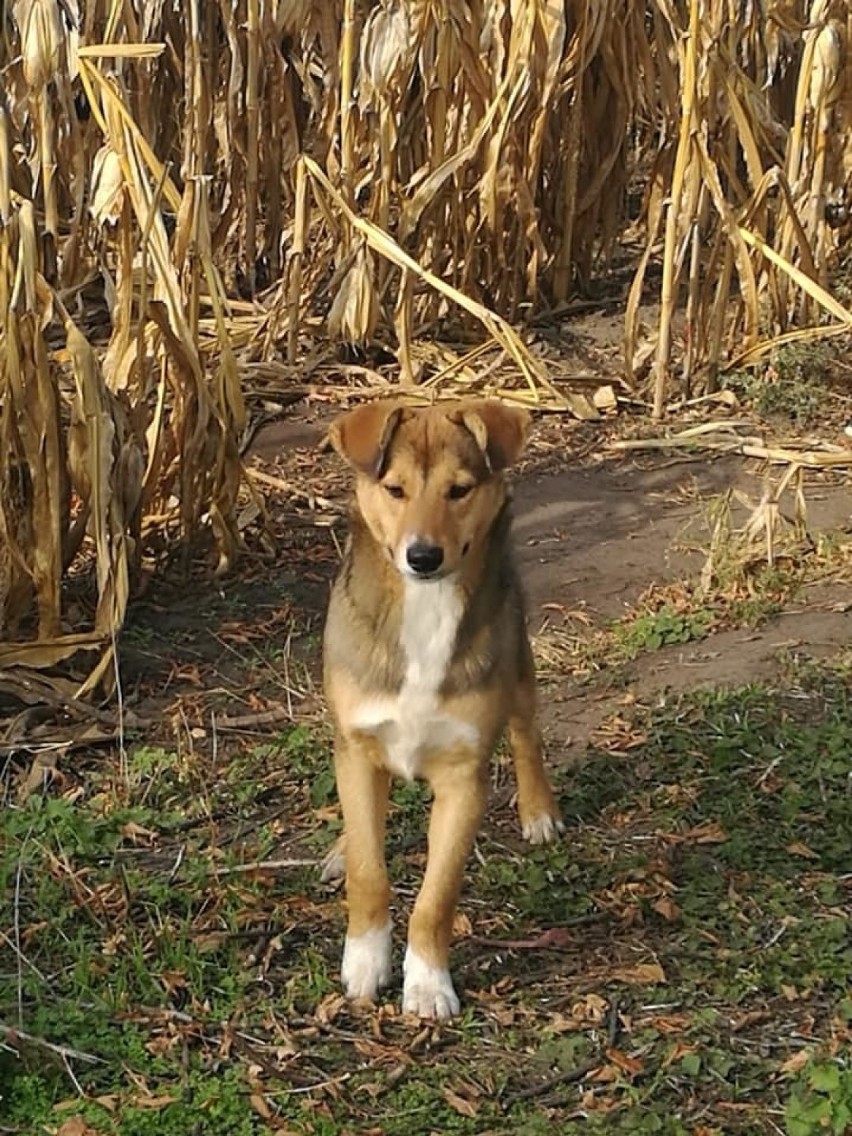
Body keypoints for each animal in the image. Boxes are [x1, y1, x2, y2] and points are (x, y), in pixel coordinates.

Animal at [322, 397, 563, 1022]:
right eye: (395, 489)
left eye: (459, 490)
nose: (423, 556)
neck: (423, 608)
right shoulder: (357, 748)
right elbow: (369, 872)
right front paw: (365, 962)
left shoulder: (463, 777)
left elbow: (437, 895)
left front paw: (427, 984)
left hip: (518, 663)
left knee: (526, 732)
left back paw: (539, 810)